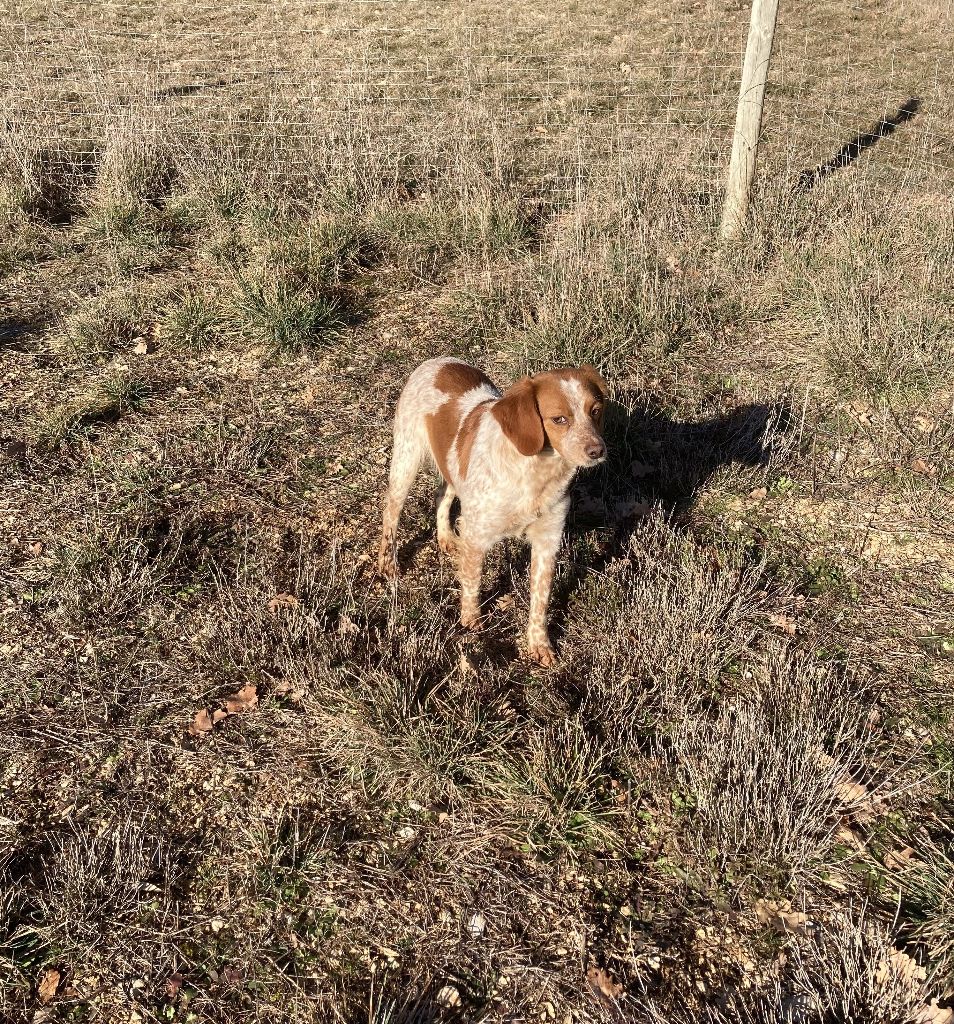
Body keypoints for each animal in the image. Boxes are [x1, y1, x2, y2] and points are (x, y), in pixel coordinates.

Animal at [376, 358, 605, 663]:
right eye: (559, 419)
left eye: (596, 411)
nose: (598, 450)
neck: (535, 471)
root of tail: (437, 361)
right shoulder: (476, 536)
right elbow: (472, 582)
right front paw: (471, 623)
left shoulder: (547, 540)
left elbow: (540, 600)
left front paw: (539, 644)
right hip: (406, 459)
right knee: (391, 510)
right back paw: (388, 563)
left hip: (452, 470)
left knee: (441, 495)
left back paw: (445, 537)